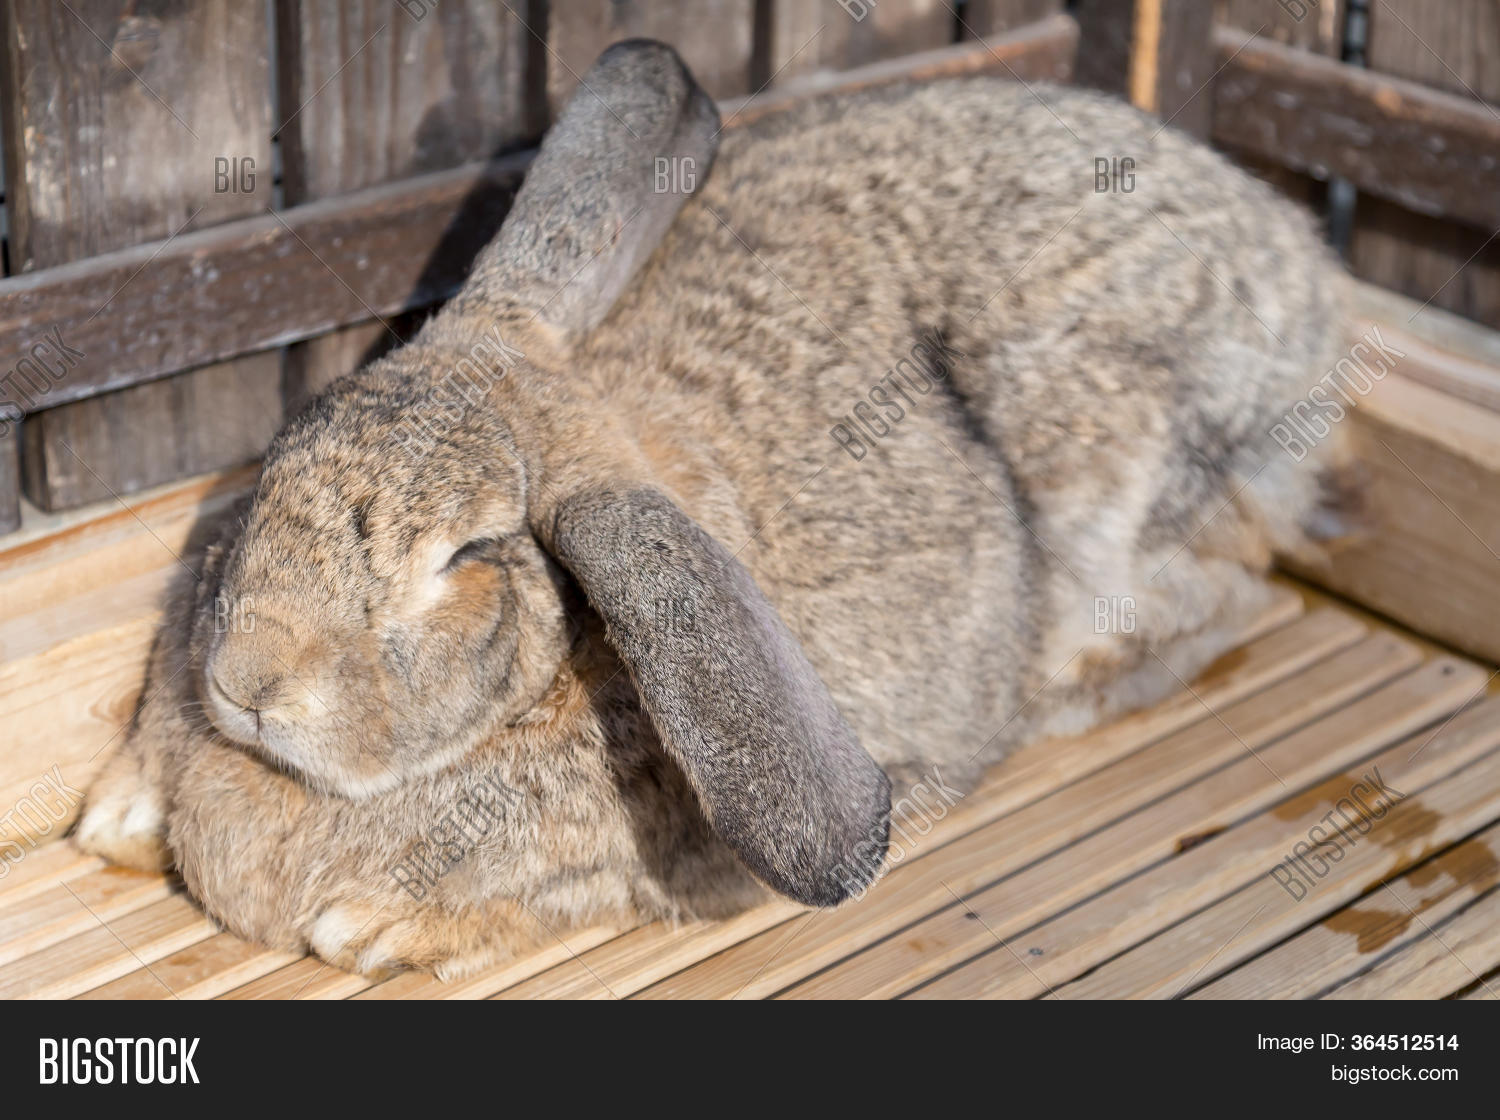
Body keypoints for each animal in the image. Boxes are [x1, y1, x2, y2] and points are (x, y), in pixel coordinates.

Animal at [74, 39, 1355, 978]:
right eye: (285, 455)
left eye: (467, 553)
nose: (248, 680)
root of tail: (1306, 288)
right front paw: (120, 815)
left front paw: (378, 926)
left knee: (1221, 595)